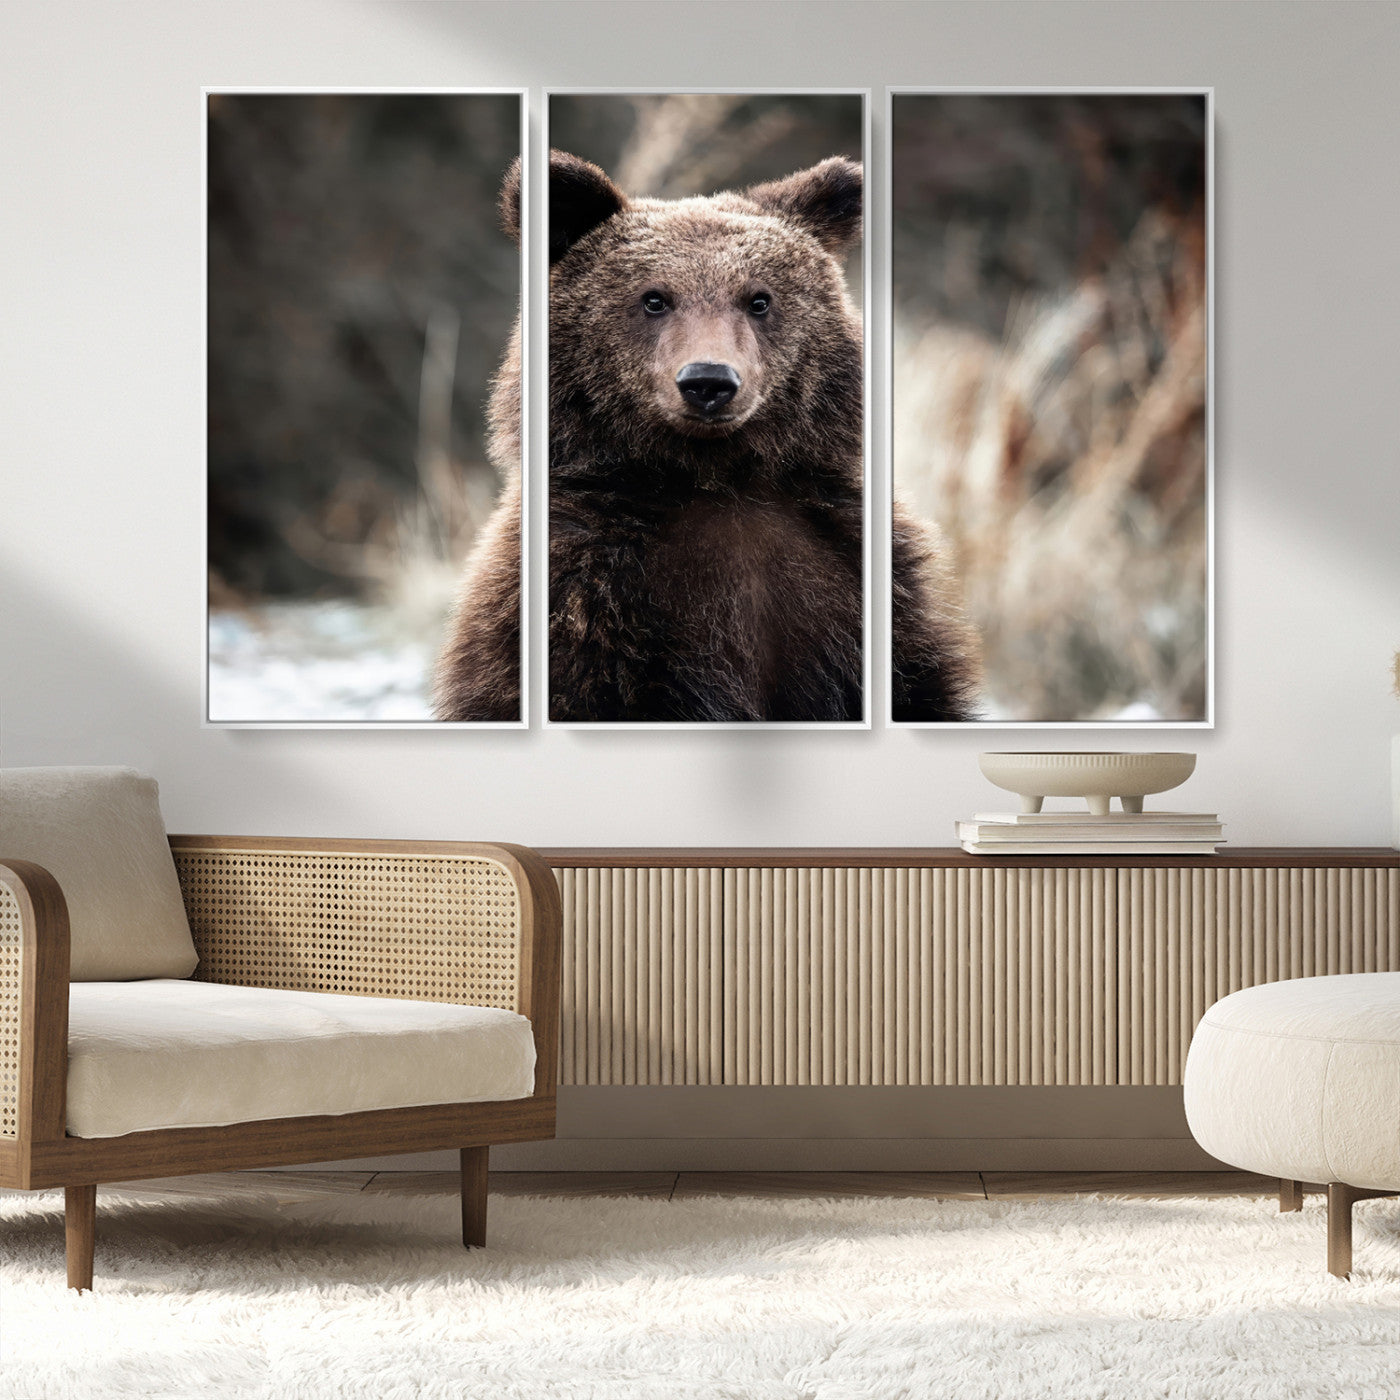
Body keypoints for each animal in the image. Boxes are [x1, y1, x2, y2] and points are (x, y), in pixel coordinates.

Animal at [434, 150, 980, 724]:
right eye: (654, 299)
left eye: (759, 300)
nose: (708, 381)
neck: (715, 477)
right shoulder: (583, 597)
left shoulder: (855, 578)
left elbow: (918, 687)